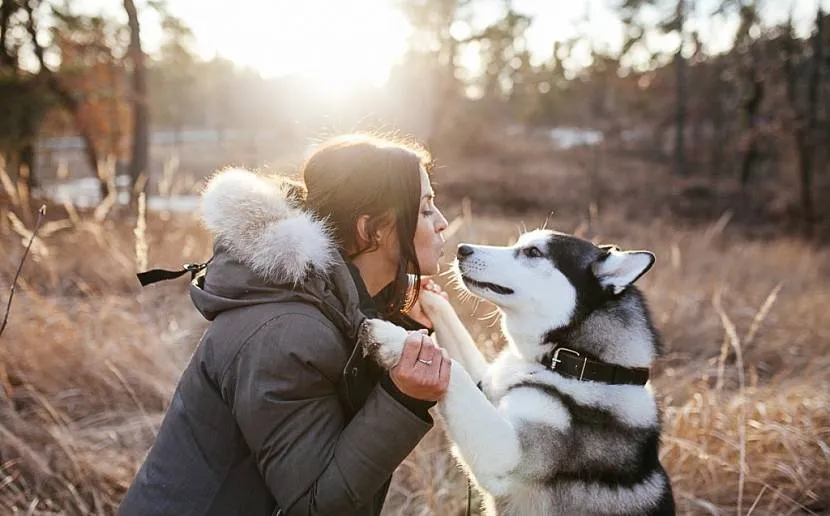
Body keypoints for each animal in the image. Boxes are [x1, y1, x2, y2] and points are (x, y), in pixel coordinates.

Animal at [362, 231, 676, 516]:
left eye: (533, 252)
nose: (462, 249)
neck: (577, 362)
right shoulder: (488, 386)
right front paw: (420, 289)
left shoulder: (508, 455)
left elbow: (455, 372)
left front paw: (393, 338)